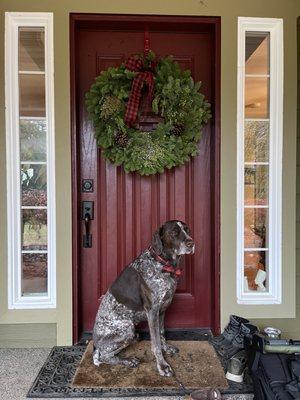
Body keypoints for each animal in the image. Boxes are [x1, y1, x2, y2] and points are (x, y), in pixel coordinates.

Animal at [92, 220, 195, 376]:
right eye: (174, 233)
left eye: (187, 230)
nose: (191, 243)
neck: (163, 264)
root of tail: (95, 344)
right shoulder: (152, 311)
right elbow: (155, 343)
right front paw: (162, 365)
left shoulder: (162, 310)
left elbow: (161, 333)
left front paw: (166, 348)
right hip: (127, 329)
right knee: (104, 356)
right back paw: (127, 361)